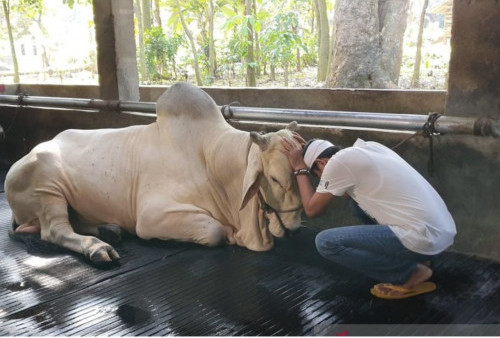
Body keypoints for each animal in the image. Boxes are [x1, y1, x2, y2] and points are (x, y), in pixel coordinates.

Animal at [3, 83, 302, 266]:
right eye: (275, 179)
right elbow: (215, 230)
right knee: (55, 230)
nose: (295, 227)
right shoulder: (151, 216)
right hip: (47, 188)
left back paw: (109, 230)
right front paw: (228, 233)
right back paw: (98, 247)